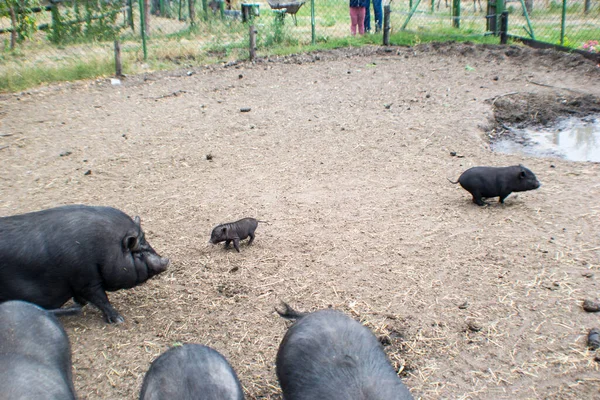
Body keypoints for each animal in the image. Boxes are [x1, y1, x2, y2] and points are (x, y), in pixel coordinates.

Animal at [0, 205, 169, 324]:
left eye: (147, 243)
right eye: (138, 252)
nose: (166, 260)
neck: (105, 250)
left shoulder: (77, 283)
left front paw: (85, 304)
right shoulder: (86, 280)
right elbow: (102, 299)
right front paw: (119, 320)